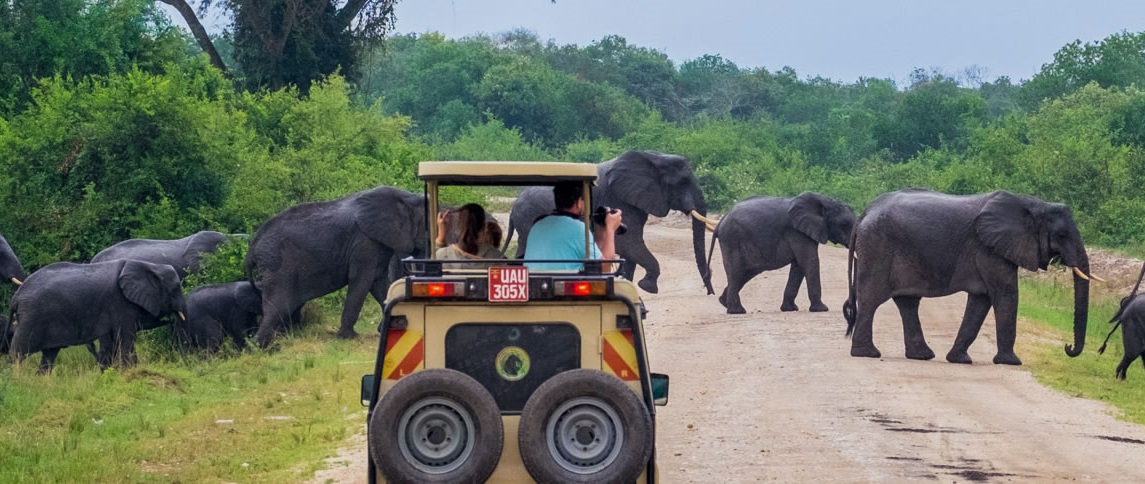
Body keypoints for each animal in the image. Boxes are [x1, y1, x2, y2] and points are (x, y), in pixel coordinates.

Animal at [8, 259, 185, 373]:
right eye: (176, 288)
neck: (149, 266)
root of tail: (16, 296)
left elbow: (116, 339)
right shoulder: (120, 302)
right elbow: (126, 337)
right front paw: (132, 370)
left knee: (49, 354)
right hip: (31, 319)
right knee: (18, 352)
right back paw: (17, 380)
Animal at [248, 184, 428, 347]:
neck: (406, 198)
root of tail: (253, 243)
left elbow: (380, 284)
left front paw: (393, 324)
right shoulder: (363, 243)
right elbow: (362, 282)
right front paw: (348, 337)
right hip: (277, 265)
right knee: (278, 306)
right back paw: (260, 348)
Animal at [503, 151, 709, 295]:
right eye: (683, 181)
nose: (709, 291)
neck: (654, 157)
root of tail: (513, 207)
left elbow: (630, 248)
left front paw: (629, 284)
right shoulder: (620, 200)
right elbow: (628, 243)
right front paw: (647, 287)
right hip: (530, 217)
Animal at [842, 191, 1090, 366]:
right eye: (1062, 235)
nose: (1068, 346)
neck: (1033, 205)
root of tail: (865, 213)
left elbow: (980, 301)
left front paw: (959, 360)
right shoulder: (990, 250)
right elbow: (1006, 294)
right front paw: (1011, 362)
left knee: (907, 302)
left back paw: (922, 356)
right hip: (877, 248)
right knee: (872, 299)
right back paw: (868, 354)